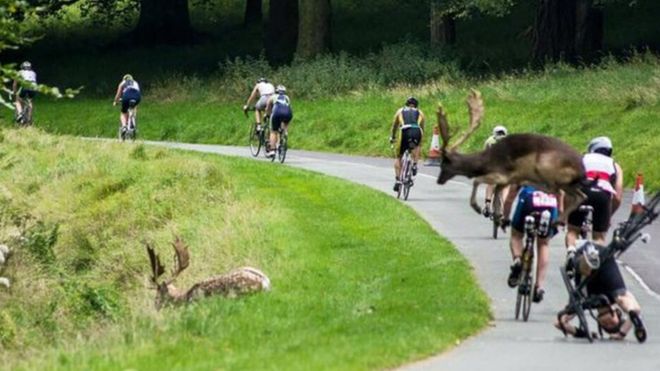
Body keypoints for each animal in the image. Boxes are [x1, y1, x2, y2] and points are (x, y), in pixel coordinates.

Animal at [436, 90, 584, 224]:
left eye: (443, 164)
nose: (439, 180)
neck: (485, 163)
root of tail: (581, 169)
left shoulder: (501, 174)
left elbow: (476, 181)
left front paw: (477, 207)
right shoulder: (505, 180)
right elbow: (495, 193)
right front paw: (497, 216)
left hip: (546, 168)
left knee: (556, 191)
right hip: (567, 183)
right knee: (579, 195)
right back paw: (558, 220)